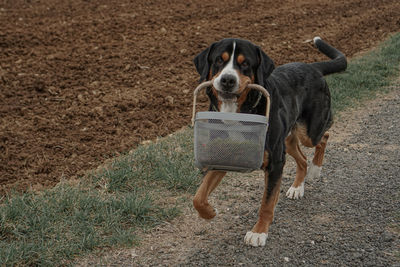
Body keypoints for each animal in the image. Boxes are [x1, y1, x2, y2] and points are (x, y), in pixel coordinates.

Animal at [192, 37, 346, 247]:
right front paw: (209, 212)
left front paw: (259, 232)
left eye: (245, 64)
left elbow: (266, 202)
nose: (227, 80)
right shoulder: (222, 158)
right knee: (302, 158)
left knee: (324, 137)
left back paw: (315, 170)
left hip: (309, 132)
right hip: (287, 140)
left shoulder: (275, 163)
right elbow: (198, 197)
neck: (236, 114)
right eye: (218, 60)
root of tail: (312, 66)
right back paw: (297, 187)